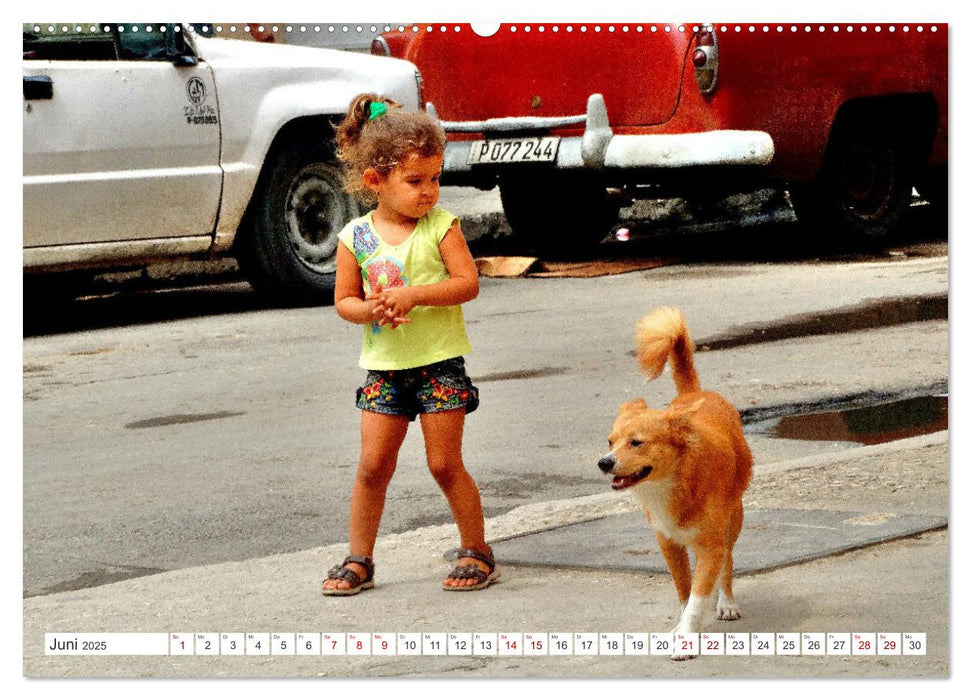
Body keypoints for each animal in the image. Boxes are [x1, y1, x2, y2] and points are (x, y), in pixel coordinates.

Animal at [600, 308, 752, 660]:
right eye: (611, 442)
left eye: (637, 442)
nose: (604, 462)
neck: (674, 482)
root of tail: (693, 394)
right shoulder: (668, 543)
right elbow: (684, 591)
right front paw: (682, 629)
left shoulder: (710, 546)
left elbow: (698, 595)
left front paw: (687, 635)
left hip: (733, 521)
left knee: (728, 564)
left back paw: (726, 603)